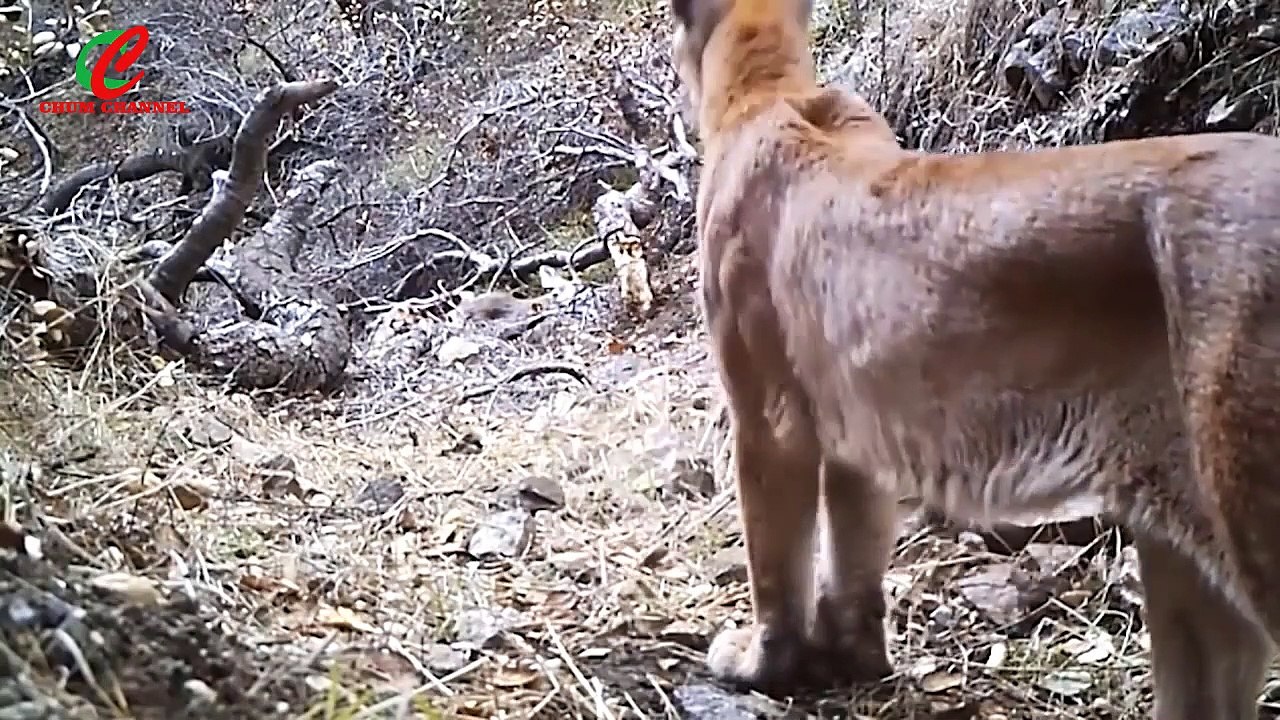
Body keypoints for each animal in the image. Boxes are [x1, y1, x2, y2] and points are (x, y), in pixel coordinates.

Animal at [668, 0, 1280, 717]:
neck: (770, 90)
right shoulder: (857, 426)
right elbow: (853, 543)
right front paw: (850, 656)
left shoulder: (767, 415)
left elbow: (775, 554)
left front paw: (764, 661)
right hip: (1178, 527)